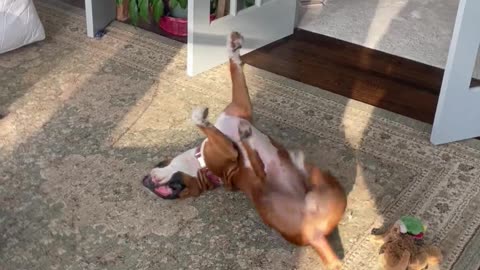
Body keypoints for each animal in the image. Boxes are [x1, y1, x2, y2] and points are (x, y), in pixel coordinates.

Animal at [141, 31, 346, 268]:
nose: (147, 183)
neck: (202, 166)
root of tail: (315, 238)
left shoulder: (239, 108)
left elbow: (235, 70)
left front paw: (233, 48)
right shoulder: (231, 149)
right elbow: (206, 122)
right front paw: (201, 118)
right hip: (282, 188)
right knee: (258, 165)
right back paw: (262, 145)